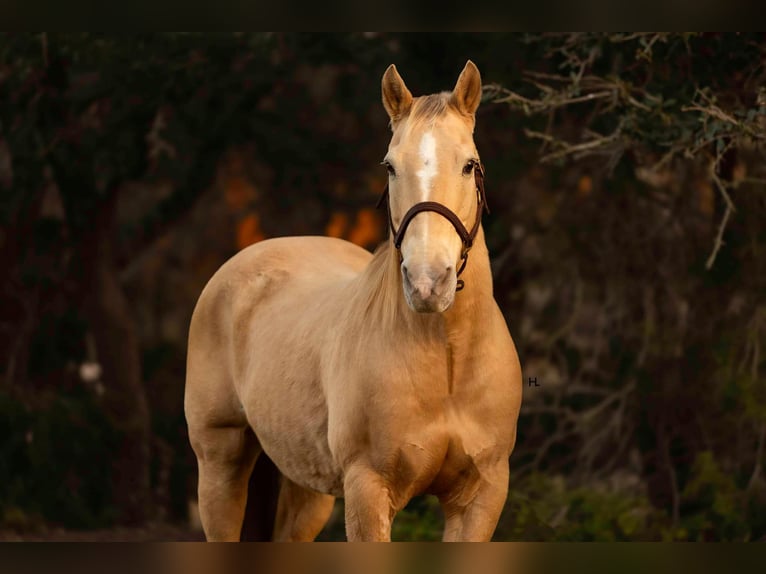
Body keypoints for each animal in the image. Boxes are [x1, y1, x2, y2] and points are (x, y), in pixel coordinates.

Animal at [183, 60, 524, 544]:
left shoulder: (481, 496)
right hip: (221, 461)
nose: (427, 282)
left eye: (469, 165)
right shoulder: (368, 488)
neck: (447, 362)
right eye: (390, 167)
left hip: (306, 486)